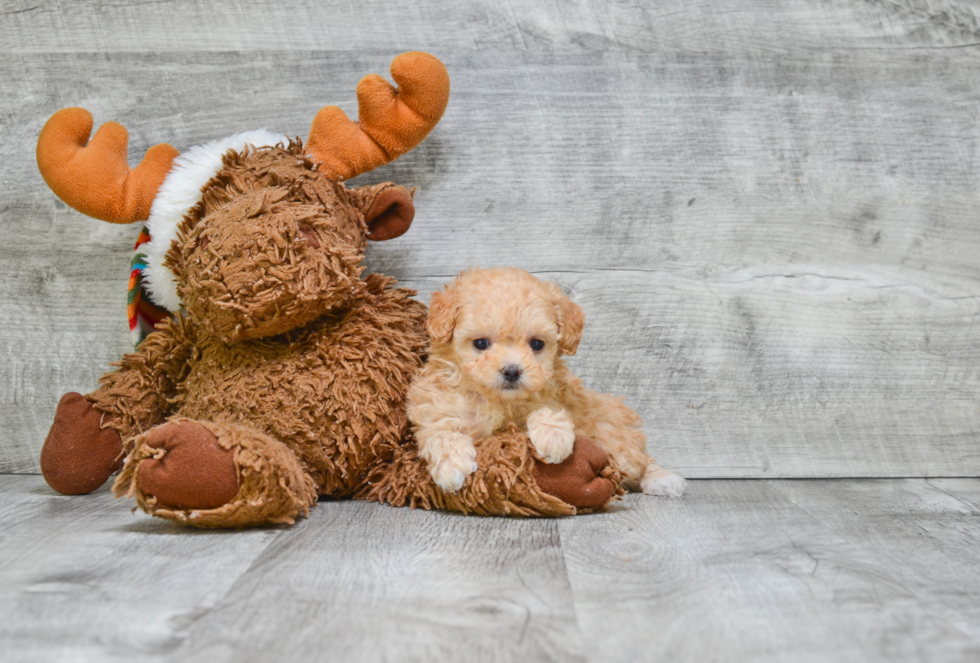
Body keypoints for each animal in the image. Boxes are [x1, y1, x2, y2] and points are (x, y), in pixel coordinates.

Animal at [410, 268, 684, 500]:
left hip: (615, 436)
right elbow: (441, 431)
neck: (500, 401)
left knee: (638, 460)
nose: (512, 371)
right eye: (480, 344)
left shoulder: (557, 395)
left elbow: (547, 408)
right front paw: (452, 467)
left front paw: (553, 437)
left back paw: (662, 479)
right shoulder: (436, 407)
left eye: (537, 344)